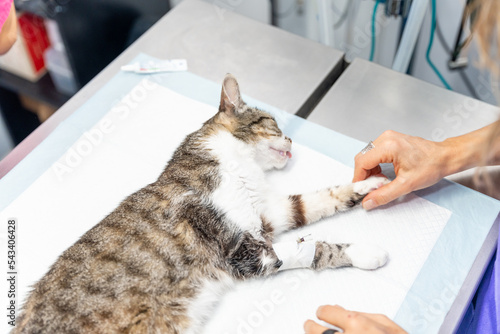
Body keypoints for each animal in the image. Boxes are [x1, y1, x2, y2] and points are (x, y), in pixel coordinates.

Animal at [14, 74, 390, 332]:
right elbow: (308, 249)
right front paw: (367, 253)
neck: (240, 165)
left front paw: (373, 183)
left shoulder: (268, 213)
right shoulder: (242, 250)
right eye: (272, 122)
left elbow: (321, 198)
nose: (291, 139)